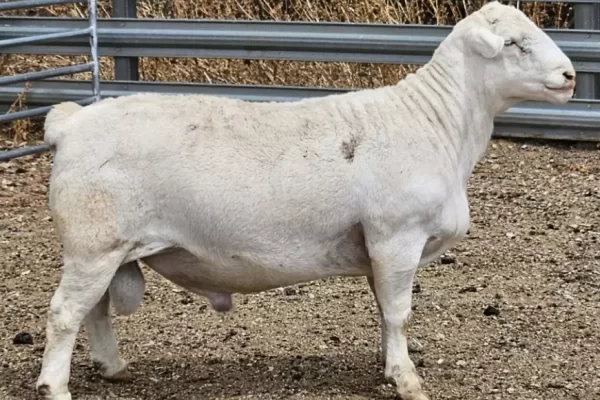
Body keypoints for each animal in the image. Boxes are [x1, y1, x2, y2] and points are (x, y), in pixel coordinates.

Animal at [34, 2, 575, 399]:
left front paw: (388, 364)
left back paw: (114, 368)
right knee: (64, 314)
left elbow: (383, 310)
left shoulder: (377, 247)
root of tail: (71, 122)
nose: (570, 76)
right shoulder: (397, 236)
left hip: (107, 249)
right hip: (93, 244)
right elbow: (399, 312)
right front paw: (407, 380)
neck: (436, 123)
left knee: (94, 311)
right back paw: (55, 387)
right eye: (513, 43)